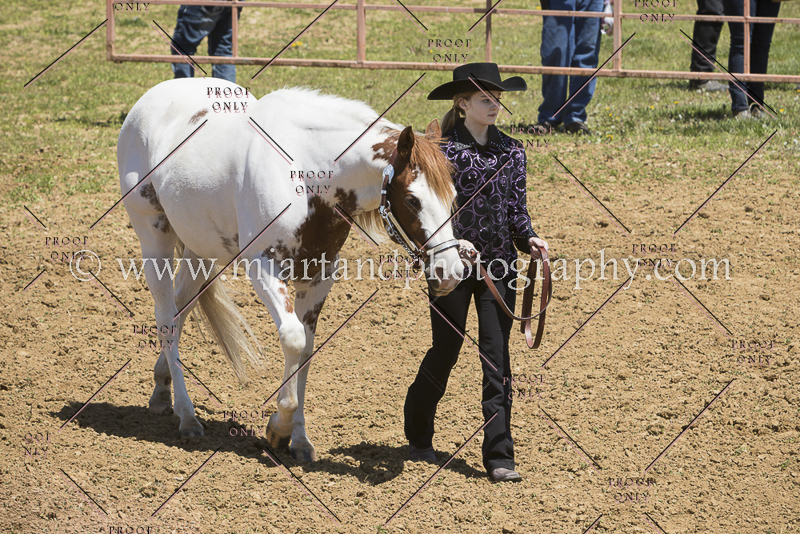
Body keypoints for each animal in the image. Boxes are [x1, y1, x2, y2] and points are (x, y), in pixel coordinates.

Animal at [117, 77, 465, 461]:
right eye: (412, 200)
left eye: (453, 196)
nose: (451, 272)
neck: (306, 172)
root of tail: (149, 100)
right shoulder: (263, 267)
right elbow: (293, 339)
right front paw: (278, 428)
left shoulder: (319, 277)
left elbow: (307, 351)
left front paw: (300, 440)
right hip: (155, 239)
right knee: (166, 318)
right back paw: (187, 415)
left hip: (200, 252)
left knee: (181, 311)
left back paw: (162, 390)